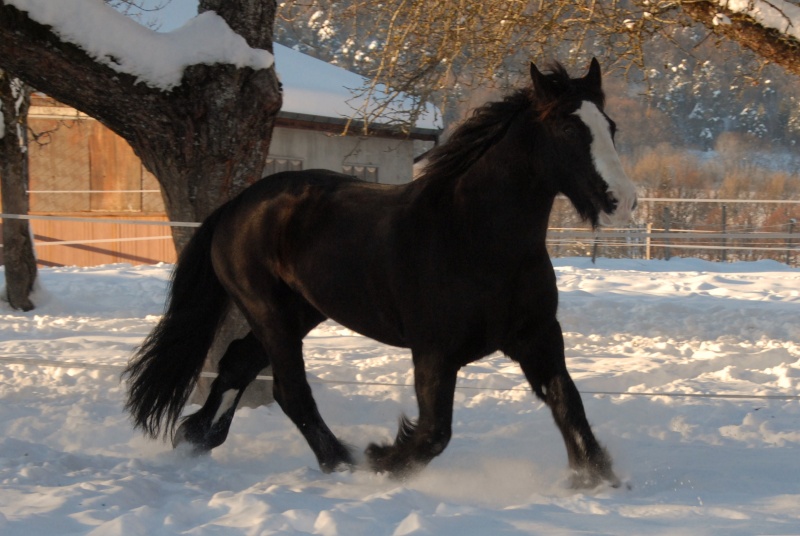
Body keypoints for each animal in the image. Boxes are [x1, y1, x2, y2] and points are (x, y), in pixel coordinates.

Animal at [125, 60, 636, 488]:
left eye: (611, 127)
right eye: (569, 127)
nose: (622, 200)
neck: (475, 237)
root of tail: (237, 206)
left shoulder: (538, 337)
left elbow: (568, 403)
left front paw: (593, 478)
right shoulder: (434, 352)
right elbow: (434, 432)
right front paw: (382, 459)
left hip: (299, 311)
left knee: (237, 364)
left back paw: (196, 437)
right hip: (267, 310)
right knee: (290, 390)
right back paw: (342, 462)